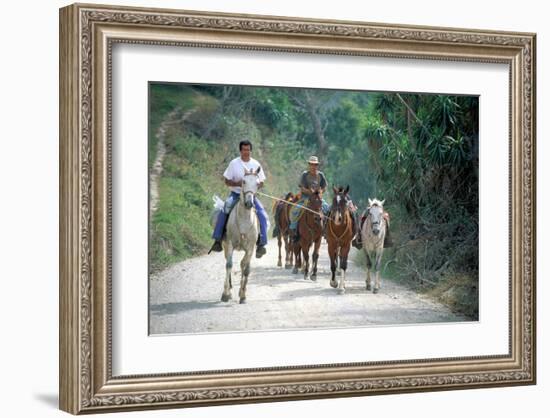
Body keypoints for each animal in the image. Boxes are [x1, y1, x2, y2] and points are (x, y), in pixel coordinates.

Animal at [221, 167, 262, 304]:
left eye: (257, 183)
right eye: (243, 181)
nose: (249, 203)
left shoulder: (250, 247)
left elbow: (247, 269)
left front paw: (243, 296)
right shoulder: (229, 244)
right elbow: (229, 265)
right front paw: (225, 294)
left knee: (243, 264)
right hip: (225, 245)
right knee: (229, 262)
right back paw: (230, 289)